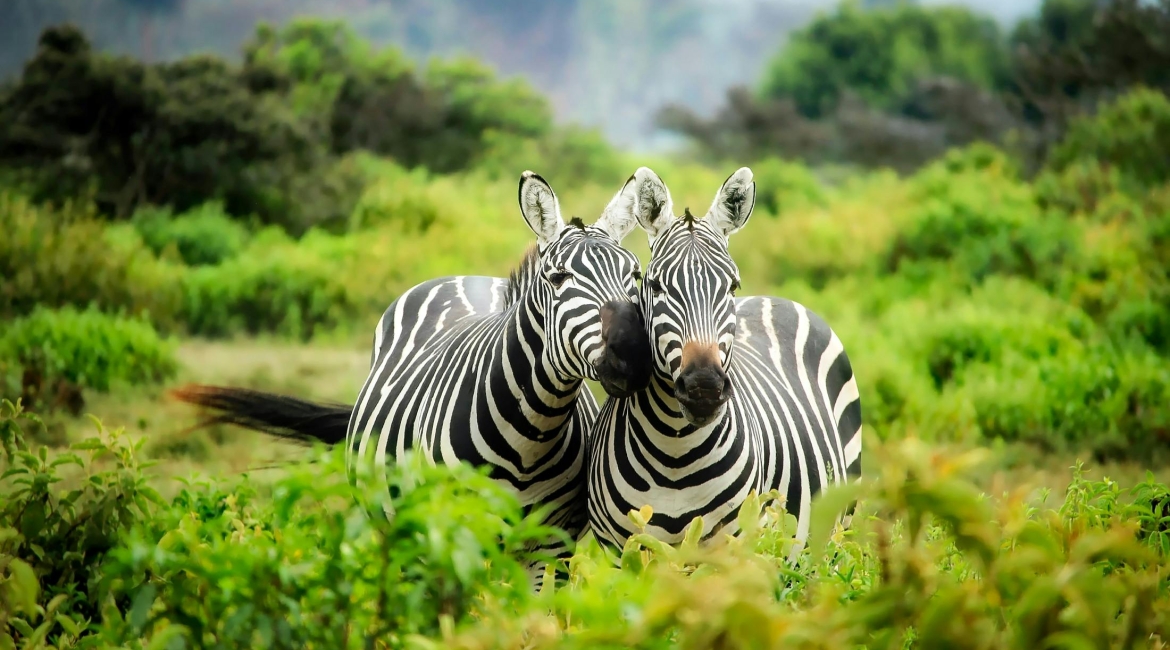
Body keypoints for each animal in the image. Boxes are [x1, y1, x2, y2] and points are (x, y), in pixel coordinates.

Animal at [169, 170, 655, 586]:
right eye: (558, 278)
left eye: (635, 275)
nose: (633, 355)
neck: (530, 435)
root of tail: (466, 276)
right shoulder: (450, 534)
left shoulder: (552, 547)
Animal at [585, 164, 861, 556]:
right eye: (655, 286)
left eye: (732, 286)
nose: (704, 388)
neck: (674, 452)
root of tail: (774, 298)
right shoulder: (621, 551)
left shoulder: (733, 549)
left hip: (838, 528)